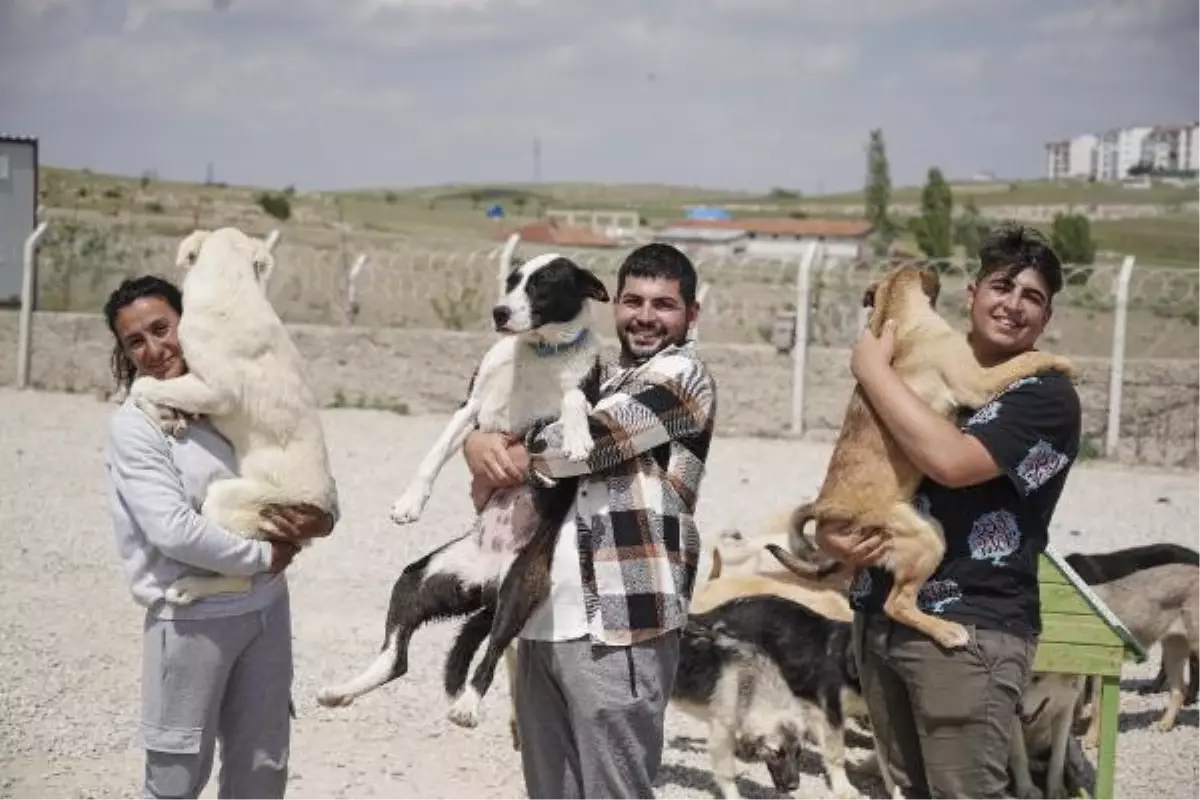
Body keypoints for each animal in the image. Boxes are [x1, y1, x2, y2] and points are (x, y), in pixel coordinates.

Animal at [130, 225, 338, 599]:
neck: (232, 285)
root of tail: (320, 504)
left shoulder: (215, 391)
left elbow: (144, 385)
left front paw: (161, 412)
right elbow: (147, 384)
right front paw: (170, 413)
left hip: (235, 500)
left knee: (241, 574)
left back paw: (188, 587)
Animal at [316, 253, 609, 729]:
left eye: (543, 285)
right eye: (512, 280)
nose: (499, 312)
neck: (539, 351)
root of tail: (485, 582)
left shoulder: (582, 396)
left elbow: (571, 402)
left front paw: (577, 438)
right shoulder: (469, 409)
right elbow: (434, 454)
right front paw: (409, 503)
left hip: (517, 591)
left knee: (489, 653)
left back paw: (468, 705)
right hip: (419, 578)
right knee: (396, 658)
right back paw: (343, 690)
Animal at [676, 592, 864, 800]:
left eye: (798, 753)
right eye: (775, 753)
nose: (793, 786)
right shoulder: (831, 713)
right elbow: (836, 754)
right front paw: (843, 787)